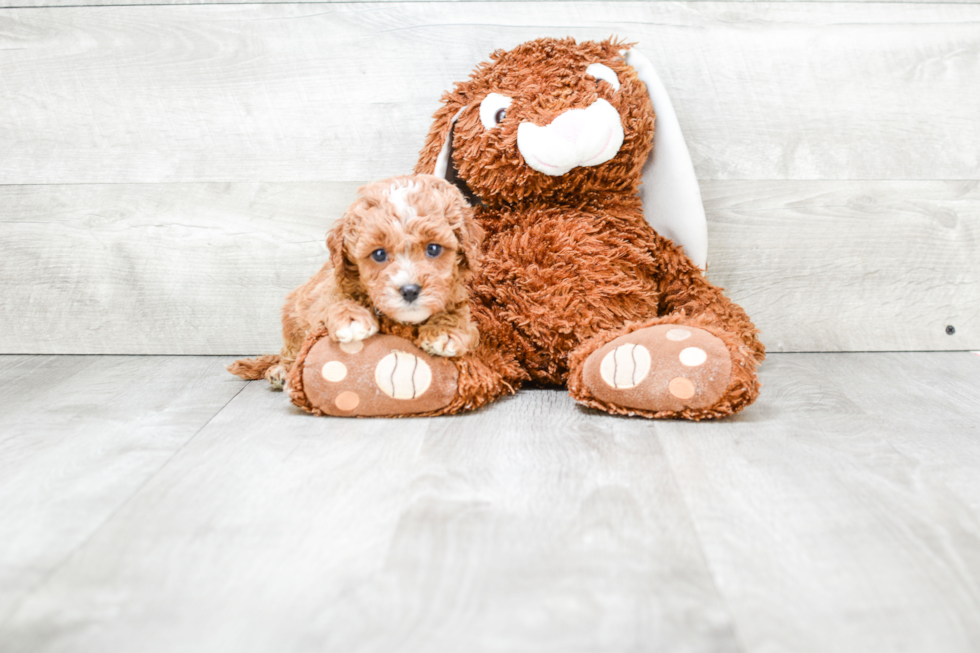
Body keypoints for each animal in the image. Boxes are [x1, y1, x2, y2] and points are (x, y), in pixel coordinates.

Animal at [234, 173, 486, 388]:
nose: (409, 290)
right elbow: (337, 301)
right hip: (293, 324)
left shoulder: (459, 301)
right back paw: (281, 371)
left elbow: (457, 315)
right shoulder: (328, 293)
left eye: (433, 249)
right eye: (379, 254)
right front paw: (351, 319)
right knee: (290, 355)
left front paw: (446, 332)